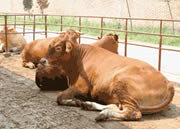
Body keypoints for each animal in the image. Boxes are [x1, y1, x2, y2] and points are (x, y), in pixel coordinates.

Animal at [39, 38, 174, 121]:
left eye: (58, 47)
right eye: (49, 46)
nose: (42, 60)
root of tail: (168, 83)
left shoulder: (82, 87)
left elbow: (59, 97)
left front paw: (74, 101)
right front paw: (77, 101)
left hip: (122, 83)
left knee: (133, 113)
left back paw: (104, 114)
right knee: (118, 106)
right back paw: (89, 105)